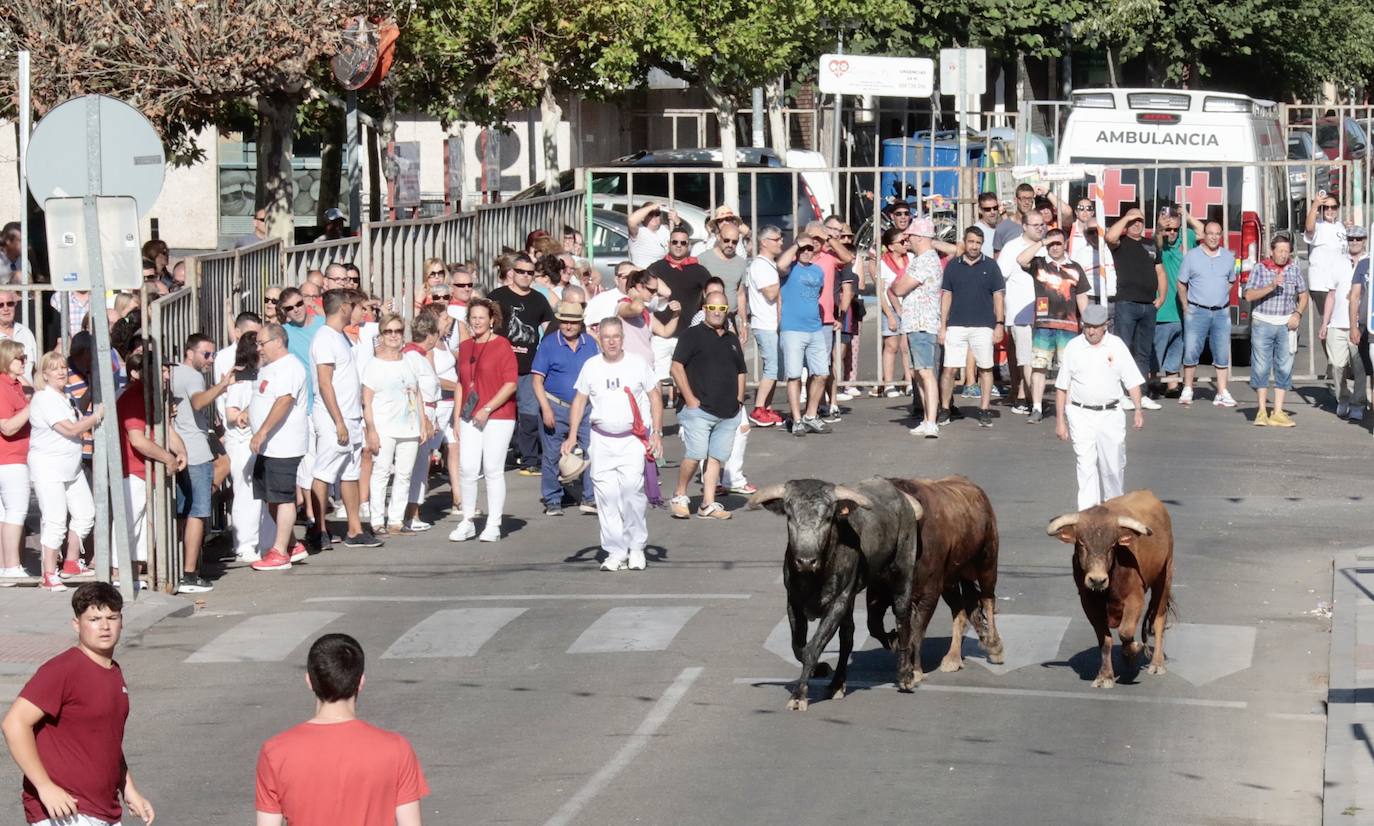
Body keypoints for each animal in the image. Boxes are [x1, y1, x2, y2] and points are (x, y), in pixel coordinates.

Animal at [884, 472, 1005, 687]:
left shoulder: (930, 593)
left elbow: (917, 630)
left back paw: (994, 646)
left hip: (988, 561)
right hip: (951, 579)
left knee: (988, 599)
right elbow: (906, 629)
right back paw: (953, 658)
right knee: (962, 612)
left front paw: (915, 671)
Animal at [1044, 486, 1176, 687]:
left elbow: (1125, 631)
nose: (1097, 580)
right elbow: (1104, 639)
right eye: (1082, 543)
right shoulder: (1088, 603)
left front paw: (1133, 649)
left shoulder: (1135, 598)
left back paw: (1157, 664)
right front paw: (1105, 676)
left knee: (1159, 619)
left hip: (1165, 575)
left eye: (1112, 545)